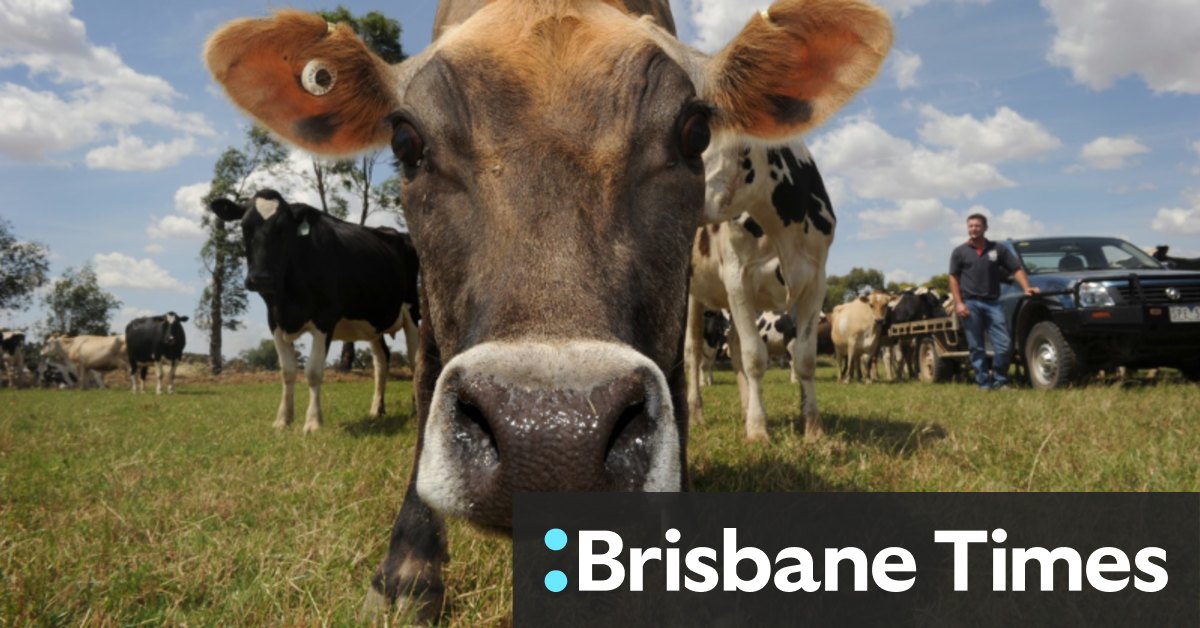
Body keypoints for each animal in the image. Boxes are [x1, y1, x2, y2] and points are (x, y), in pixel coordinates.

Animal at [208, 189, 420, 432]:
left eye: (283, 229)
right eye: (245, 227)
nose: (261, 278)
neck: (287, 295)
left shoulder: (325, 317)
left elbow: (313, 371)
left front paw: (313, 422)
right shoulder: (274, 320)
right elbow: (287, 370)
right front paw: (283, 420)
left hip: (412, 309)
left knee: (415, 360)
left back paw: (416, 411)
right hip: (372, 321)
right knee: (381, 360)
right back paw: (376, 410)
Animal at [685, 141, 836, 442]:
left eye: (744, 147)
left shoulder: (816, 281)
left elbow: (805, 358)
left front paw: (813, 426)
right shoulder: (738, 278)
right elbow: (754, 356)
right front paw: (757, 429)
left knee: (733, 345)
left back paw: (745, 409)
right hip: (693, 292)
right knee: (693, 351)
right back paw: (696, 413)